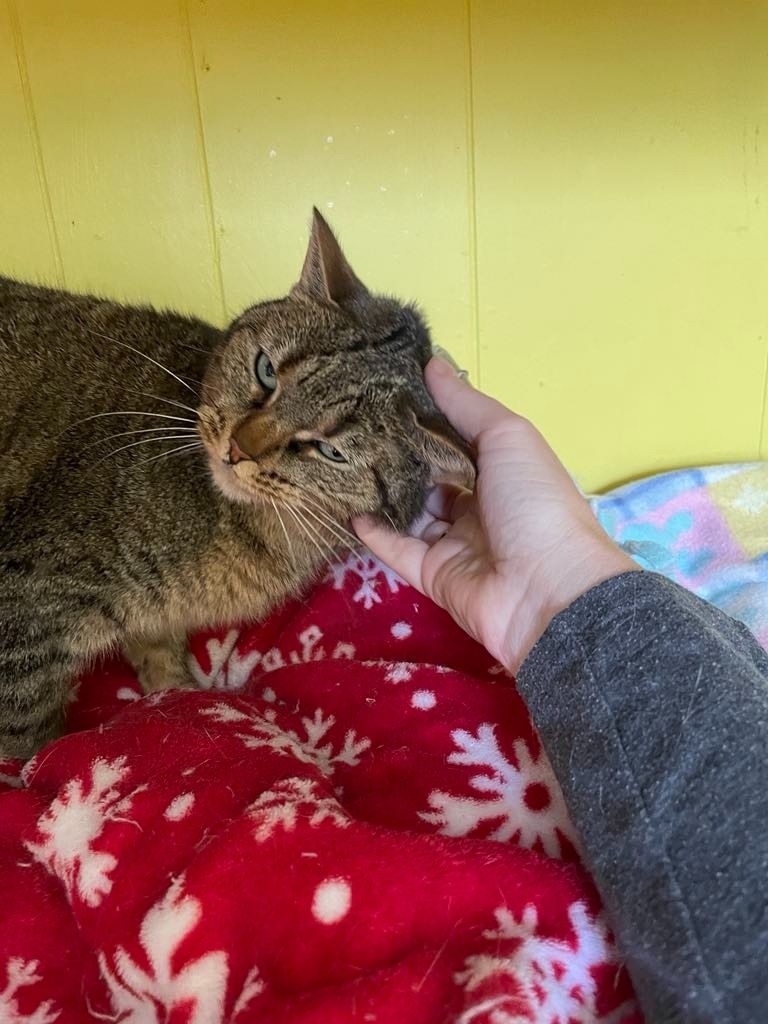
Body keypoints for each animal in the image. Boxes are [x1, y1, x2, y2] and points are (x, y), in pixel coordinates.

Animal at [0, 209, 475, 761]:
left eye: (331, 452)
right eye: (266, 371)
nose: (237, 449)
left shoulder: (148, 618)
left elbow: (163, 669)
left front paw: (180, 700)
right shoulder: (27, 603)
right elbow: (27, 737)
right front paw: (45, 769)